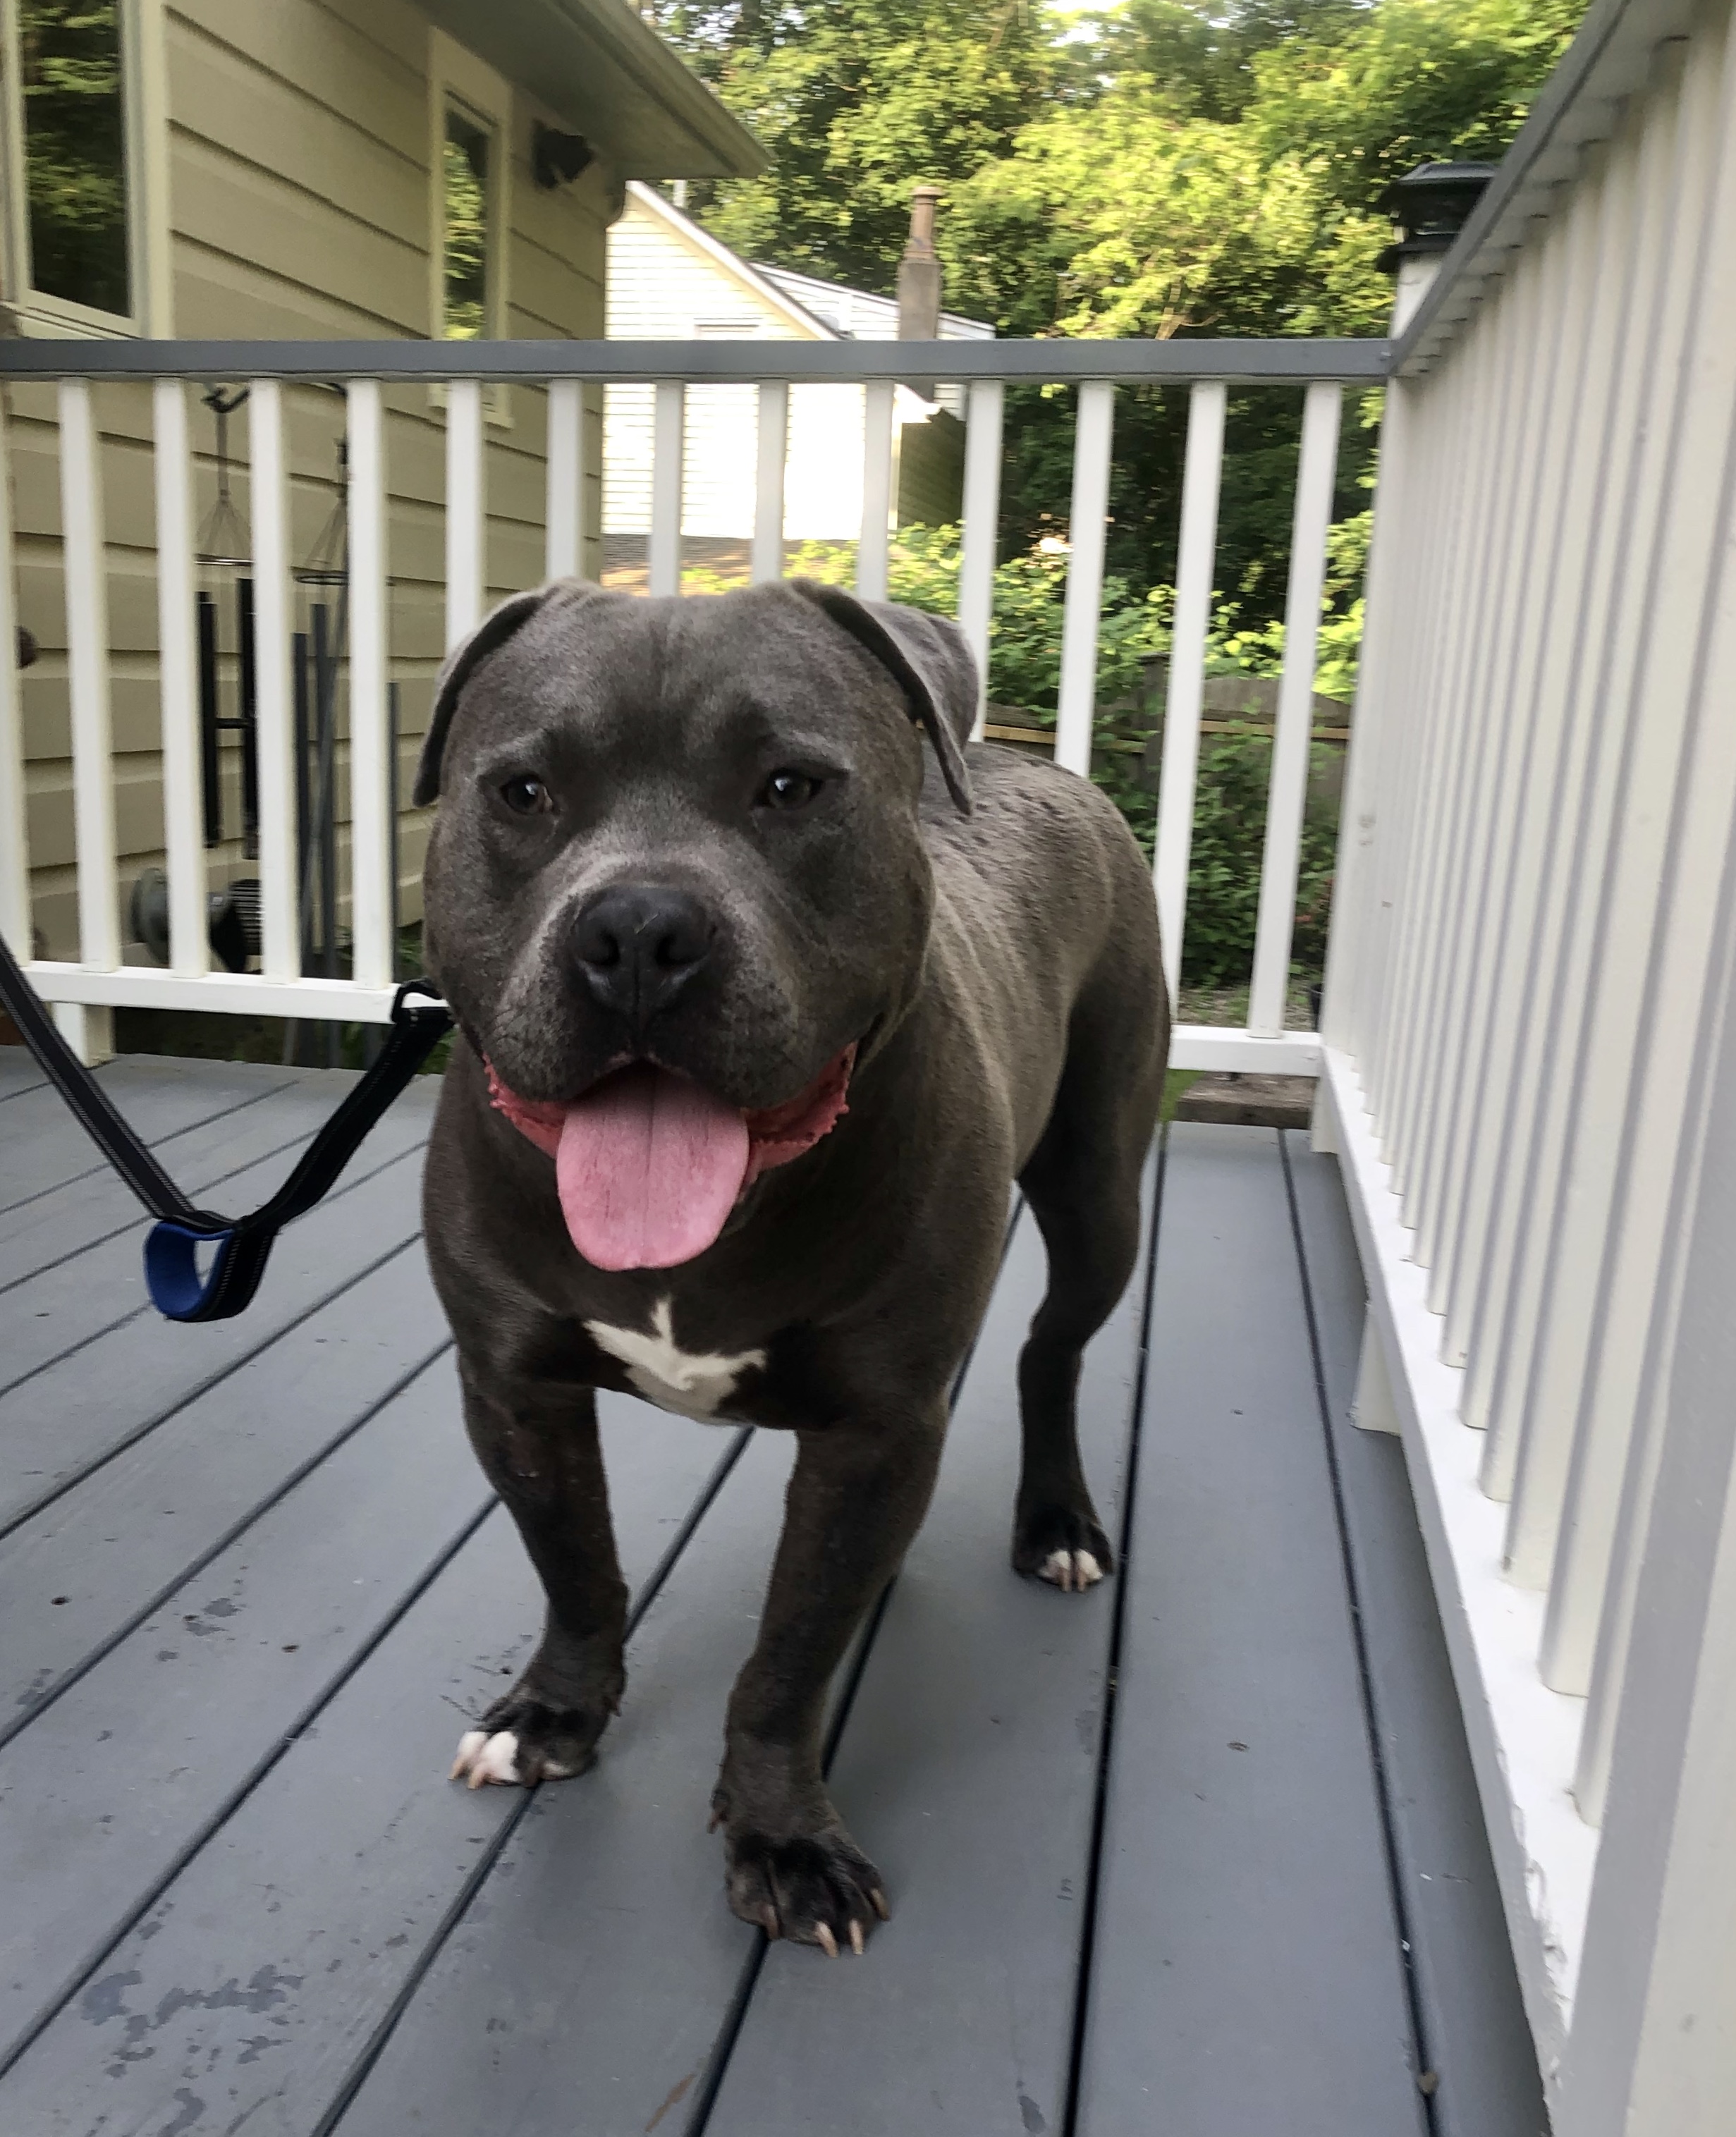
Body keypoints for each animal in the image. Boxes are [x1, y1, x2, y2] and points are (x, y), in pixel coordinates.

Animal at [416, 577, 1166, 1954]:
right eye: (523, 792)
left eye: (790, 787)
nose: (638, 927)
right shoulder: (513, 1390)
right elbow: (576, 1566)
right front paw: (553, 1713)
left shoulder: (874, 1429)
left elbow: (787, 1655)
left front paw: (782, 1835)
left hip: (1098, 1195)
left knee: (1050, 1348)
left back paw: (1056, 1517)